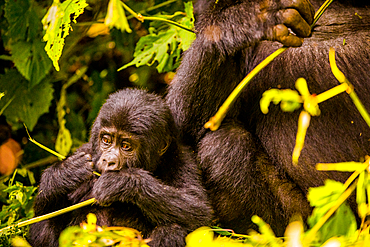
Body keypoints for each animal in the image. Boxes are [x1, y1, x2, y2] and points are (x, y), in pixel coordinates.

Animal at [28, 89, 211, 247]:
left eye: (126, 146)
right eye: (106, 140)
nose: (109, 161)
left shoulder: (183, 159)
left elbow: (200, 211)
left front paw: (121, 182)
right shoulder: (85, 151)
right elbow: (38, 222)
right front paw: (64, 174)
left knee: (172, 229)